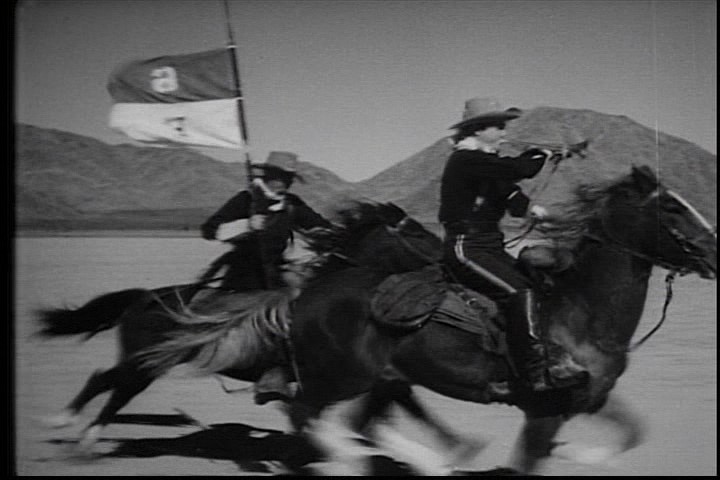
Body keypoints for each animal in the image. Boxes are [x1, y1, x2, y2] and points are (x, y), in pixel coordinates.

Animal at [35, 200, 442, 453]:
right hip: (147, 362)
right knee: (111, 384)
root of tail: (144, 297)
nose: (447, 259)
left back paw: (71, 428)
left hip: (148, 362)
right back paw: (74, 430)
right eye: (418, 234)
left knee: (109, 381)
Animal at [138, 165, 716, 474]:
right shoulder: (543, 408)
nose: (714, 250)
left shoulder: (589, 398)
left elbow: (632, 432)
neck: (579, 312)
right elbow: (530, 459)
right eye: (672, 208)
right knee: (306, 414)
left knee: (348, 422)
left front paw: (584, 453)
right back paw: (355, 460)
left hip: (379, 378)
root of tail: (304, 295)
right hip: (340, 376)